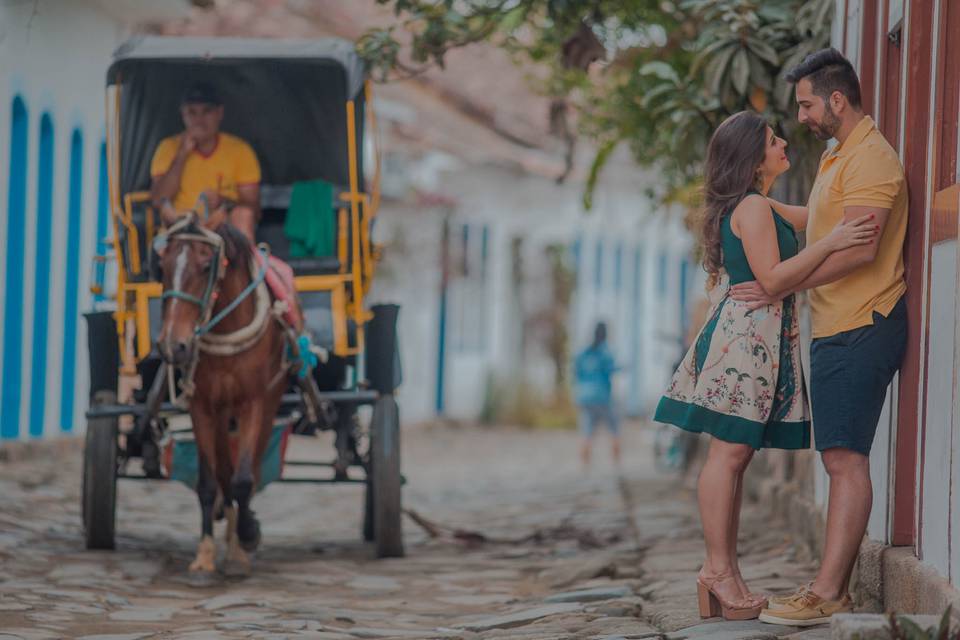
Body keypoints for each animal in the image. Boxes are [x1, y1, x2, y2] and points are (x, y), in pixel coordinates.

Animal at [157, 214, 284, 576]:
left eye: (204, 266)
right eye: (161, 266)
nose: (173, 345)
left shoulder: (253, 401)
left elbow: (243, 480)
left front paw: (247, 535)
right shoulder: (201, 405)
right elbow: (209, 482)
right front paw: (205, 553)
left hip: (269, 401)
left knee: (251, 468)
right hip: (221, 411)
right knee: (225, 470)